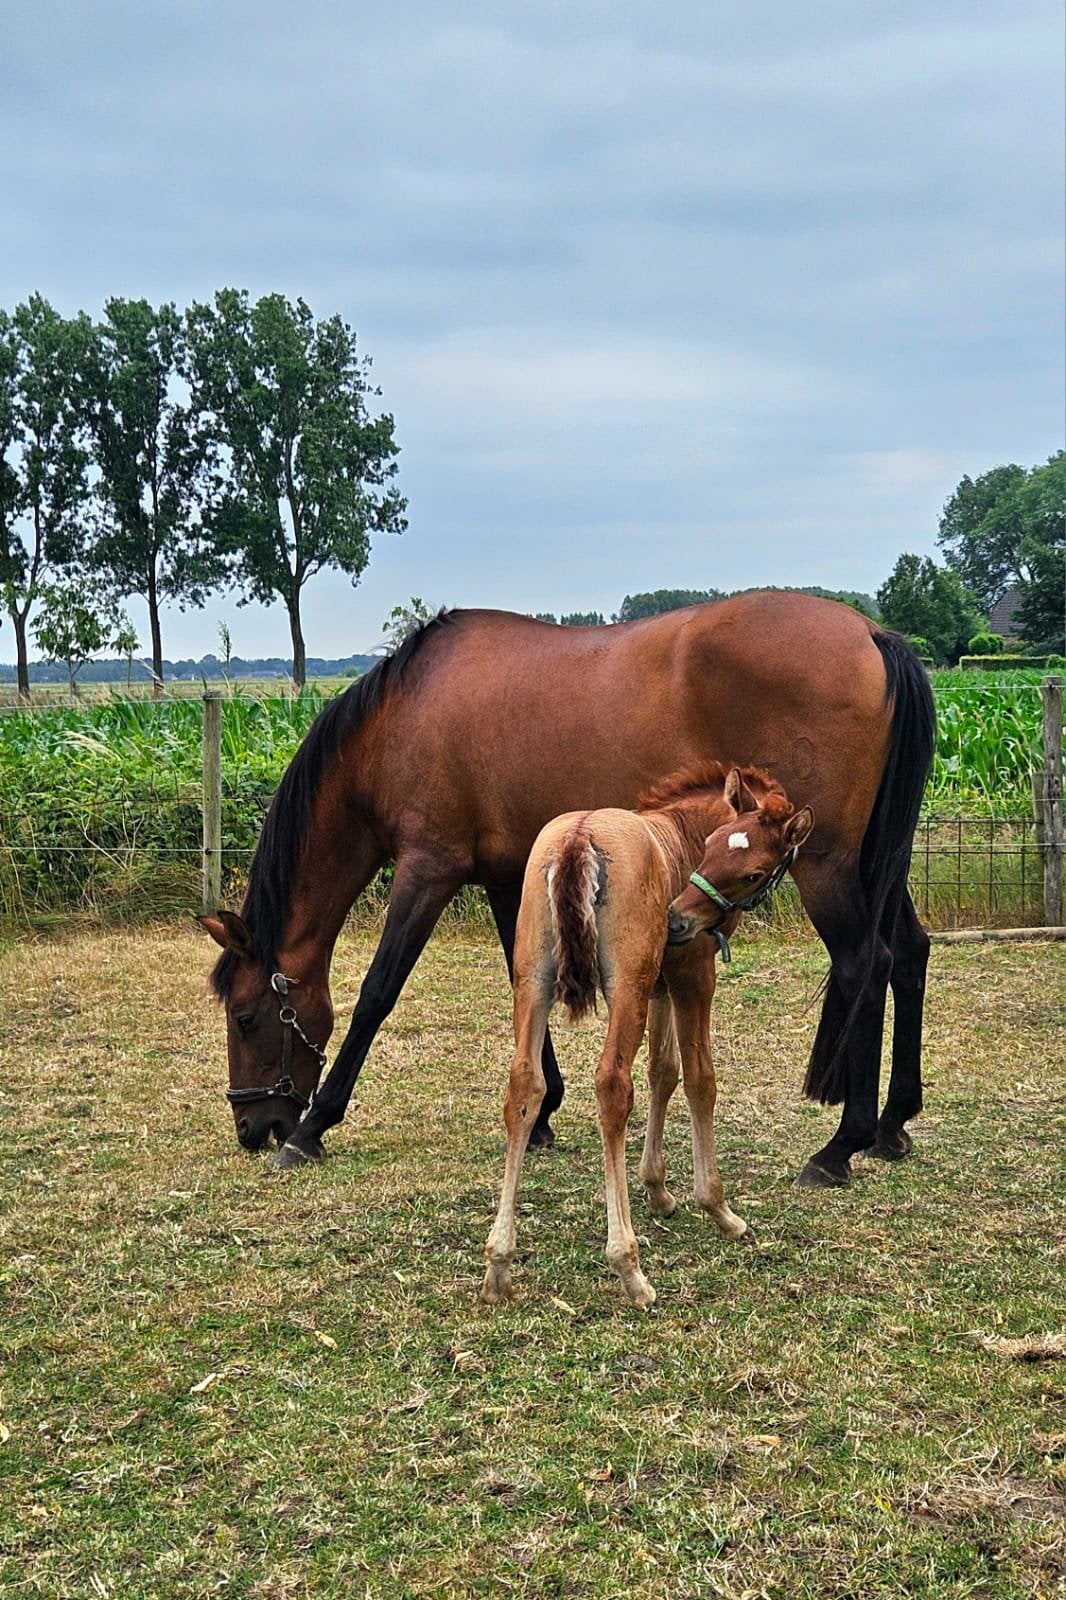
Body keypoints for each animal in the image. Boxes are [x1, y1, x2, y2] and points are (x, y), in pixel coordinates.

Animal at [199, 591, 934, 1190]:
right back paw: (893, 1121)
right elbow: (523, 976)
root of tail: (873, 632)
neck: (399, 720)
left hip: (825, 864)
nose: (251, 1129)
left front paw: (311, 1128)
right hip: (868, 863)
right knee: (909, 953)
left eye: (247, 1017)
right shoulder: (506, 876)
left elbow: (377, 994)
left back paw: (841, 1145)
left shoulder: (427, 870)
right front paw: (546, 1108)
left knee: (865, 962)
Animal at [481, 764, 813, 1308]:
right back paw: (629, 1268)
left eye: (751, 870)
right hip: (625, 987)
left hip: (533, 980)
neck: (680, 830)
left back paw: (498, 1265)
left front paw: (657, 1189)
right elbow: (699, 1078)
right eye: (710, 850)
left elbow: (664, 1070)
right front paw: (718, 1209)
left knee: (524, 1087)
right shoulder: (692, 975)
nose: (676, 920)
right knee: (612, 1085)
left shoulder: (660, 986)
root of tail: (579, 838)